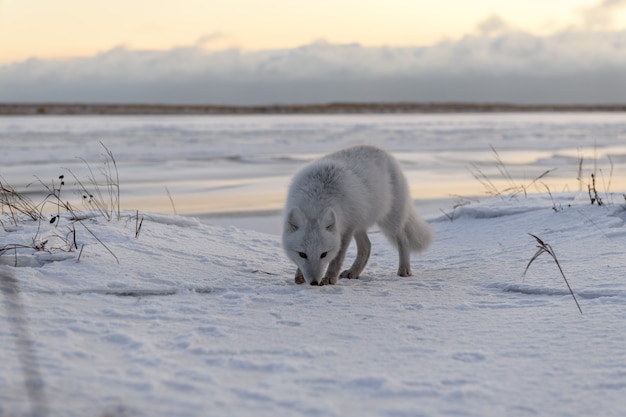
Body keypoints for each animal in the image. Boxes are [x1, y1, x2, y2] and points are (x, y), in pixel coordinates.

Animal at [282, 145, 432, 284]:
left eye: (323, 254)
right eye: (302, 254)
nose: (314, 283)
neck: (316, 201)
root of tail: (382, 151)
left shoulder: (347, 229)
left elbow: (337, 258)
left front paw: (330, 278)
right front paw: (300, 275)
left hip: (389, 222)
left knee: (403, 240)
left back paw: (404, 269)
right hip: (360, 223)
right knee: (367, 247)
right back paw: (353, 272)